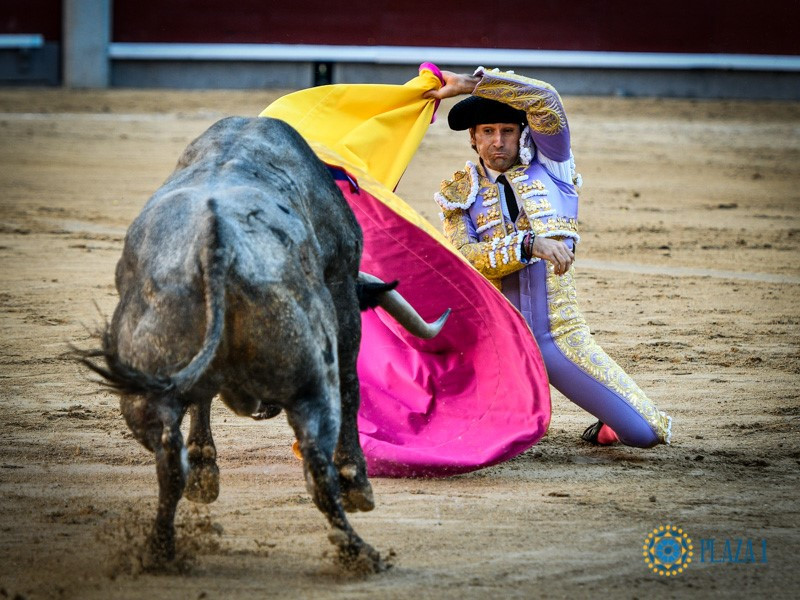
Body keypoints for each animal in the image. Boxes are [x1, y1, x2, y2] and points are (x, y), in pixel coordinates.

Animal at [84, 116, 454, 572]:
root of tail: (215, 241)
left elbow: (201, 404)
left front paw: (205, 472)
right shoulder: (342, 283)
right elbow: (352, 383)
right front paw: (358, 482)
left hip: (144, 387)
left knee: (169, 460)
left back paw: (160, 549)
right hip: (311, 381)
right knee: (319, 461)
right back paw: (358, 543)